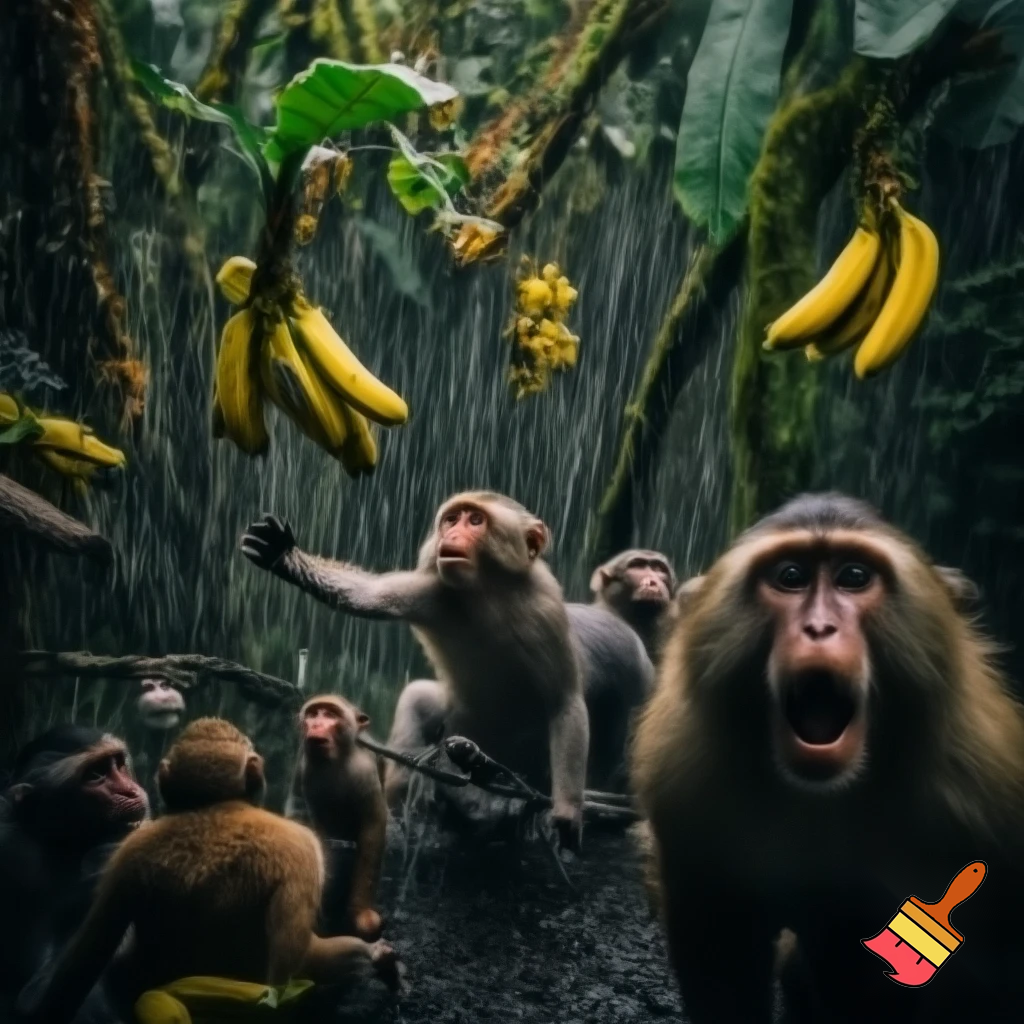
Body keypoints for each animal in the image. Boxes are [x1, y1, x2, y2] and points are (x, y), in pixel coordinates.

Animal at [241, 492, 652, 849]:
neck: (488, 591)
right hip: (460, 724)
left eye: (476, 520)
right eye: (452, 519)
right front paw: (284, 556)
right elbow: (368, 596)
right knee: (420, 700)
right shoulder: (435, 588)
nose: (451, 534)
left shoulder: (546, 608)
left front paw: (566, 813)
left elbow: (564, 700)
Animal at [285, 694, 388, 942]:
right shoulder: (308, 770)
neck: (337, 758)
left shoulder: (365, 772)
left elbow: (372, 828)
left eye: (330, 714)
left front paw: (361, 916)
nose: (316, 725)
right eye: (314, 714)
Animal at [631, 492, 1024, 1024]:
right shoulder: (687, 776)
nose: (819, 627)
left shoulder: (977, 788)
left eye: (853, 577)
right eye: (791, 576)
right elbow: (720, 941)